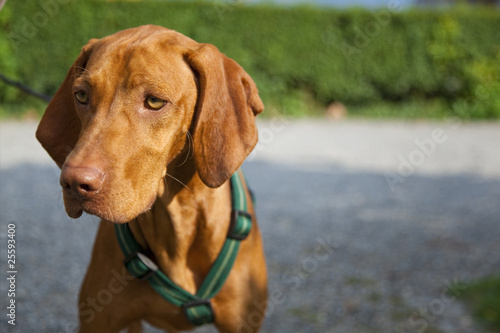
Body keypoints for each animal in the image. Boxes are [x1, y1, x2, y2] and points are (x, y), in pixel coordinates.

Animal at [36, 24, 266, 330]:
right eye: (81, 96)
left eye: (155, 102)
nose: (74, 183)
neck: (177, 215)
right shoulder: (97, 322)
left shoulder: (244, 323)